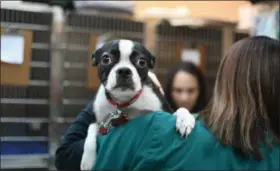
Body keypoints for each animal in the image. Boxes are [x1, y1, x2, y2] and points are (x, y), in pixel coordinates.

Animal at [80, 39, 195, 170]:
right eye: (106, 59)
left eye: (141, 62)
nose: (124, 70)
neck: (125, 101)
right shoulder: (97, 119)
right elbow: (90, 133)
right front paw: (87, 161)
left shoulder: (164, 110)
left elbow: (181, 109)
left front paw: (185, 120)